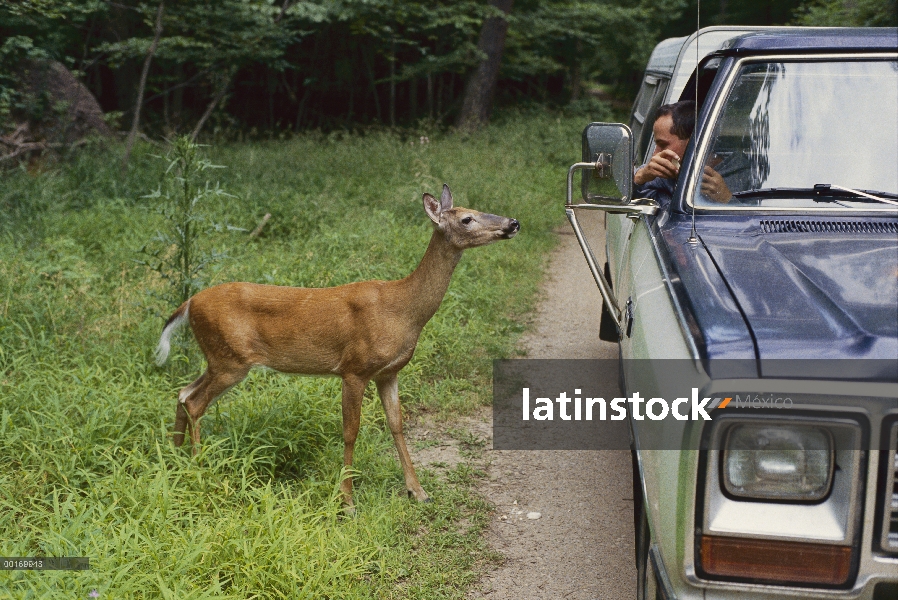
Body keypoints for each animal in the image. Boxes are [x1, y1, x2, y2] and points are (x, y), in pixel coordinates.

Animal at [154, 183, 520, 506]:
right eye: (467, 218)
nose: (513, 223)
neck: (403, 310)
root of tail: (189, 304)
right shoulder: (354, 368)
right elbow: (350, 431)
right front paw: (347, 500)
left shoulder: (389, 372)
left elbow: (397, 426)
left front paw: (418, 492)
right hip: (230, 359)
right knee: (195, 402)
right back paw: (199, 466)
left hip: (218, 357)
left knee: (183, 392)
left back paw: (175, 457)